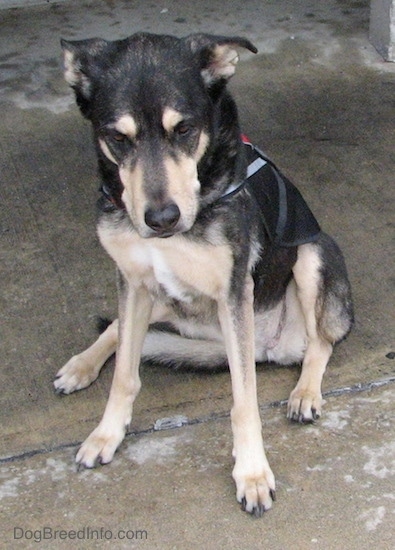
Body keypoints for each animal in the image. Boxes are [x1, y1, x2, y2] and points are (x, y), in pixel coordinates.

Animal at [54, 33, 354, 516]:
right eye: (118, 138)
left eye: (184, 130)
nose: (161, 219)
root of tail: (268, 349)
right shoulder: (134, 281)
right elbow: (124, 375)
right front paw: (106, 434)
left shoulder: (233, 293)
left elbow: (244, 400)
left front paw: (252, 473)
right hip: (169, 300)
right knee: (117, 328)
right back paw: (81, 365)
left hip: (311, 256)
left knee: (320, 343)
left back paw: (306, 392)